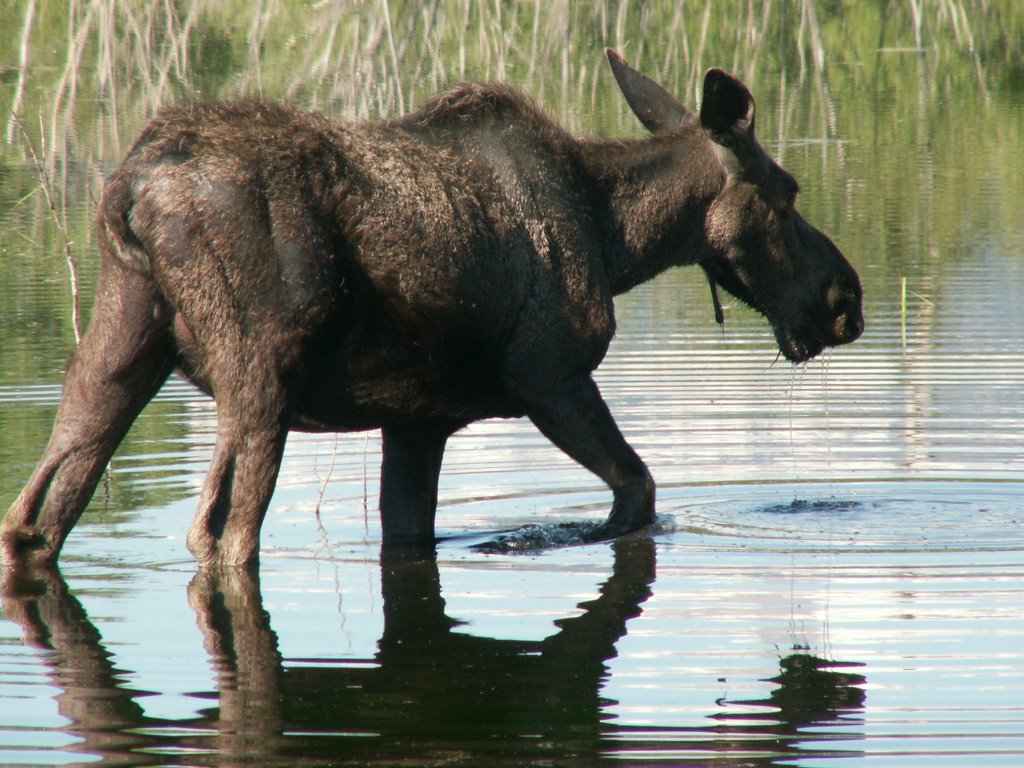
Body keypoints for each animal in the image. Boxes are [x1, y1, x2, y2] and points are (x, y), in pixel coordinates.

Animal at [2, 49, 864, 573]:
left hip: (120, 347)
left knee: (35, 515)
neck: (616, 238)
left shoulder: (417, 420)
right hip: (260, 380)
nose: (844, 301)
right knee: (218, 535)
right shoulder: (547, 371)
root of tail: (131, 192)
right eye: (787, 193)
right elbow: (638, 491)